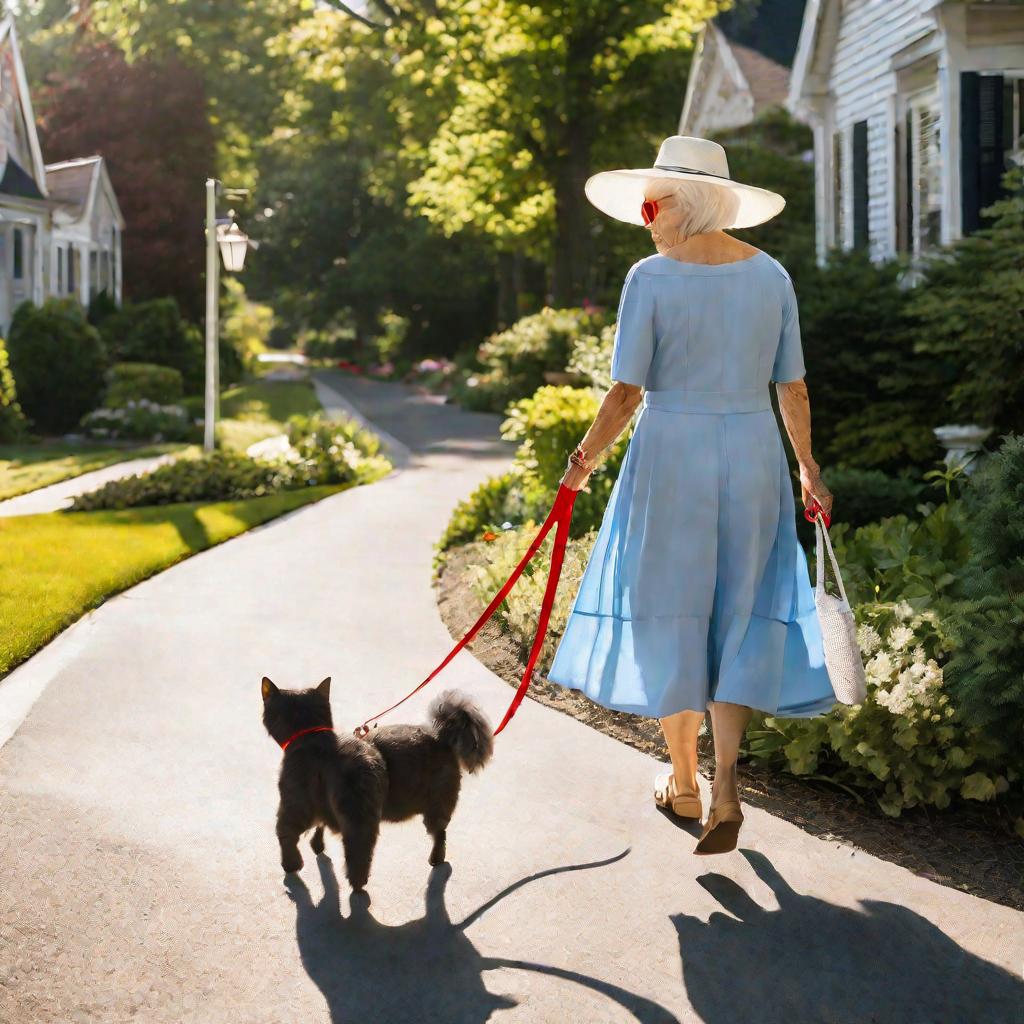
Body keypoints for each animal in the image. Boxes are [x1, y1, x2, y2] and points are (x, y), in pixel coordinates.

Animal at [260, 671, 491, 888]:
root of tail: (442, 737)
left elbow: (291, 833)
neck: (312, 737)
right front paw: (317, 845)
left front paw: (300, 858)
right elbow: (320, 826)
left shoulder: (293, 798)